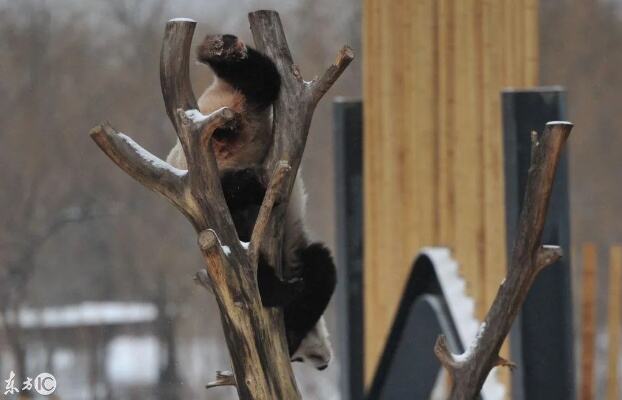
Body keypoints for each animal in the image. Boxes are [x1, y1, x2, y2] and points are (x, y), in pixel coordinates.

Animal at [167, 33, 336, 368]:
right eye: (299, 360)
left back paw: (220, 49)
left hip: (235, 114)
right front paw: (287, 305)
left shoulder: (297, 249)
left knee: (261, 80)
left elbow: (322, 268)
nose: (324, 364)